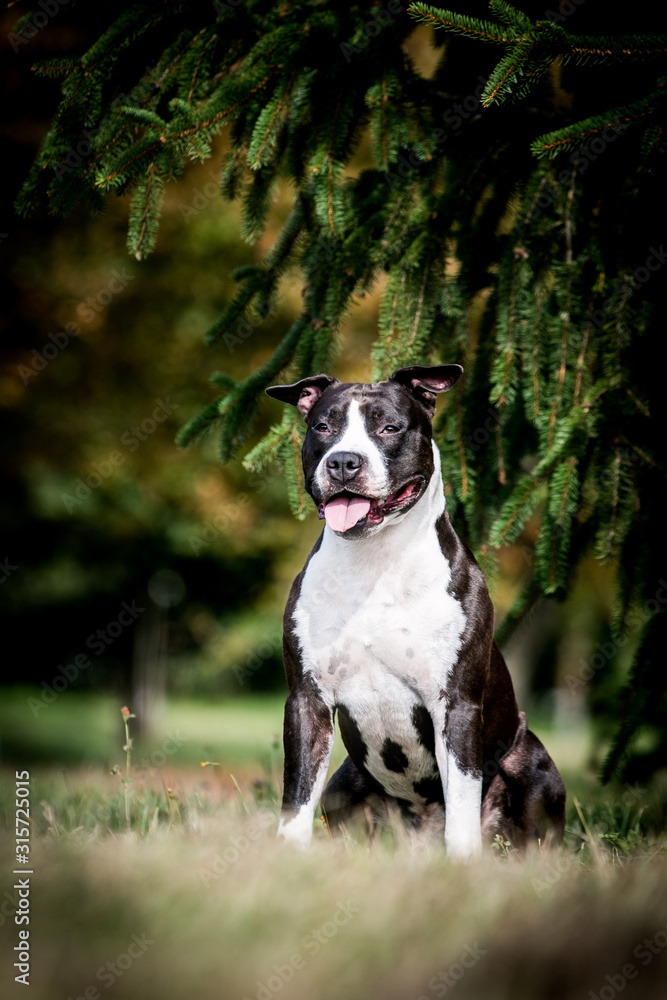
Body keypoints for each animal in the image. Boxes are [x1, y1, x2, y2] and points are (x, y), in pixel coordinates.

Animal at [264, 364, 568, 856]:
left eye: (389, 428)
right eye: (323, 427)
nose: (343, 461)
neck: (373, 561)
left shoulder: (455, 705)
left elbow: (461, 800)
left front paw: (460, 863)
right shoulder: (308, 700)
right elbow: (297, 796)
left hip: (532, 765)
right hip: (344, 785)